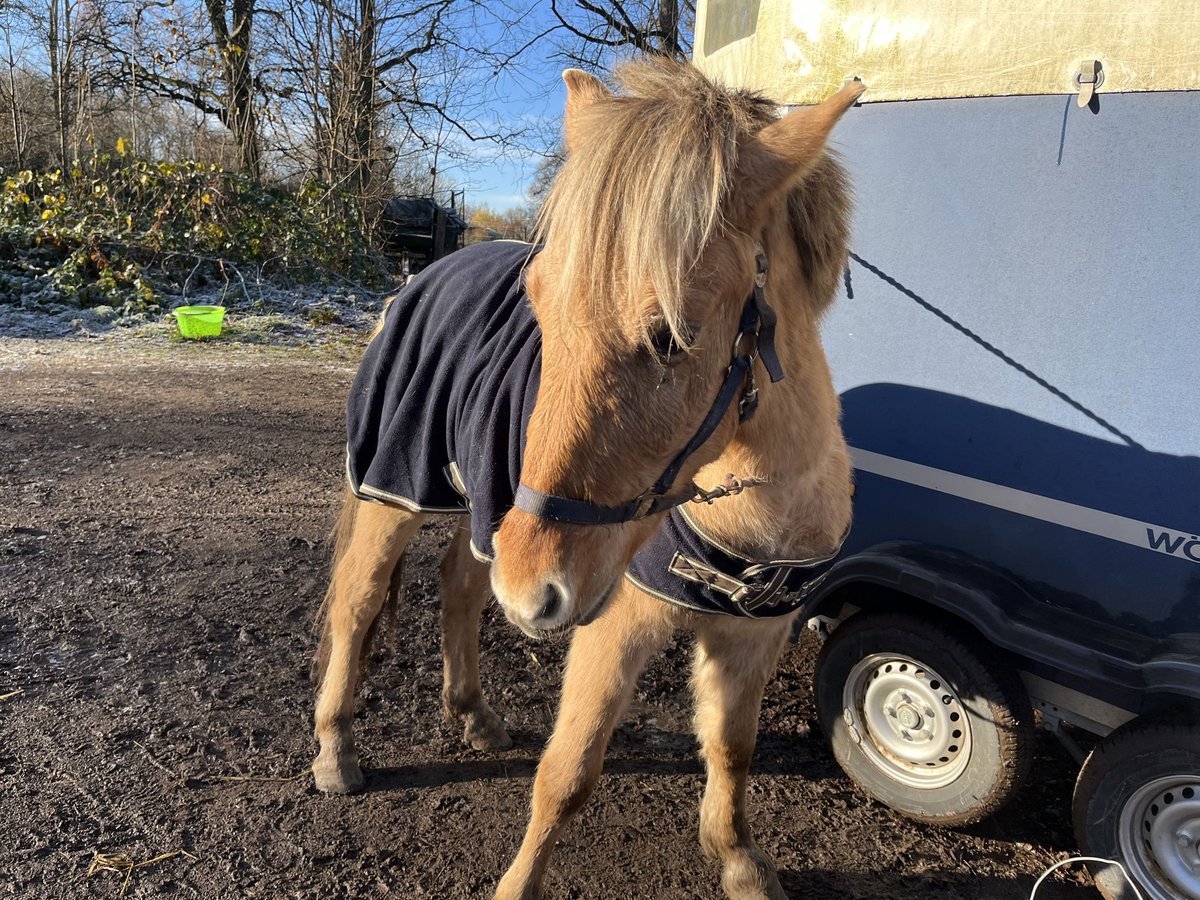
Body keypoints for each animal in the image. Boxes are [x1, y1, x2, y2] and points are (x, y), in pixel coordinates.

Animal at [312, 58, 864, 900]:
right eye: (539, 305)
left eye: (671, 336)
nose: (533, 594)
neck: (759, 507)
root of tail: (423, 275)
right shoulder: (615, 623)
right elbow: (568, 774)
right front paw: (517, 887)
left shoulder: (751, 635)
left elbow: (731, 749)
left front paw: (738, 860)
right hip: (398, 494)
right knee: (357, 604)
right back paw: (336, 749)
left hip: (491, 517)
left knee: (462, 586)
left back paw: (473, 713)